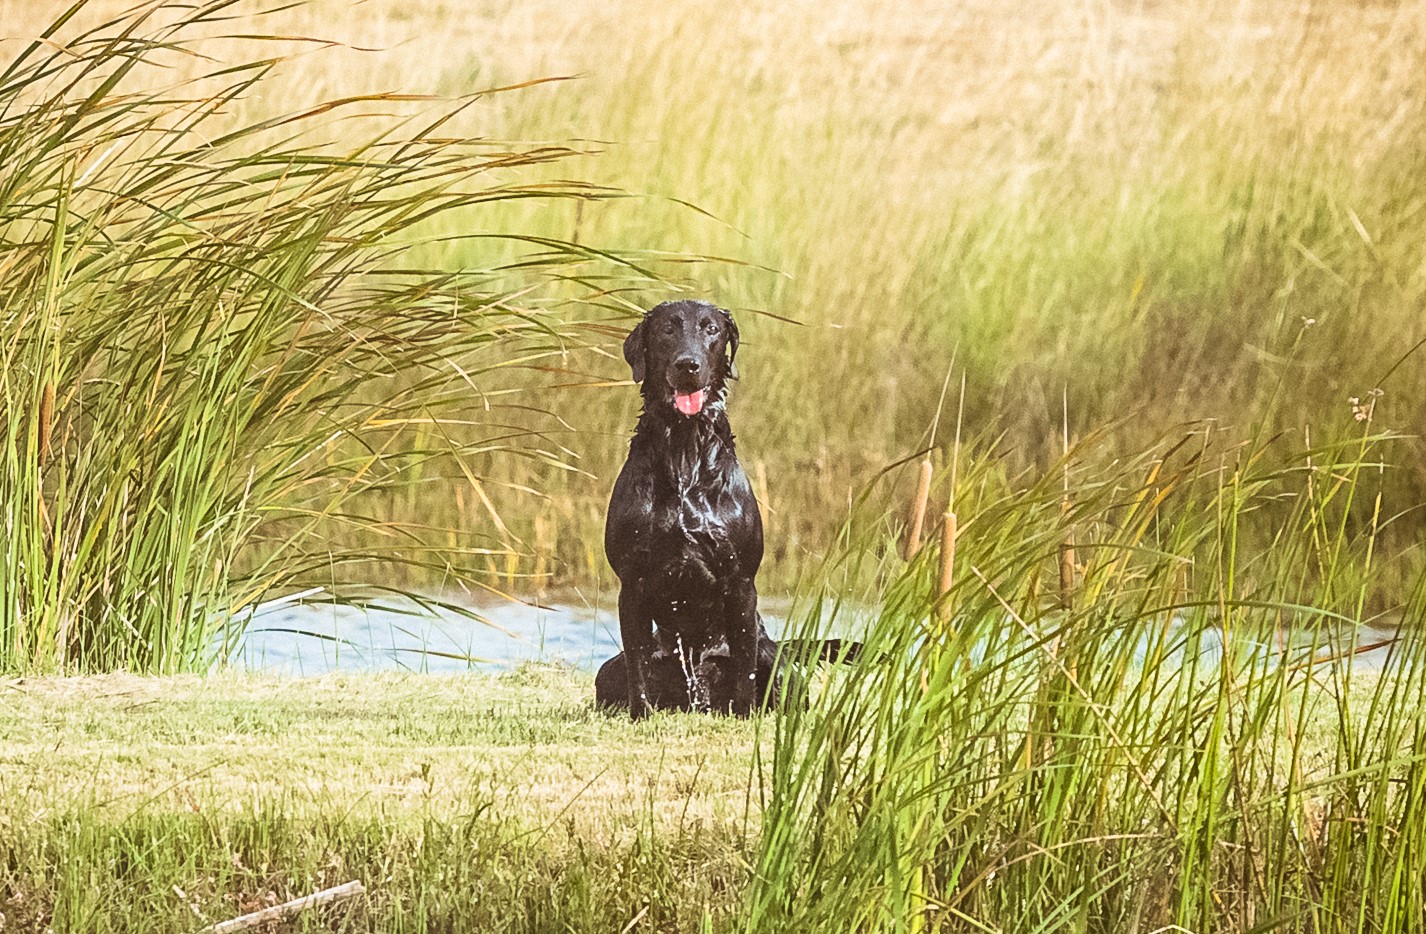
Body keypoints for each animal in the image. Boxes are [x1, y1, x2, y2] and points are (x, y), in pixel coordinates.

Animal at [601, 299, 781, 715]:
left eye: (711, 329)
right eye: (667, 329)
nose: (688, 365)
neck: (685, 452)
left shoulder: (741, 580)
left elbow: (745, 665)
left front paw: (744, 715)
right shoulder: (631, 582)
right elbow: (637, 664)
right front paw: (641, 714)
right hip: (606, 671)